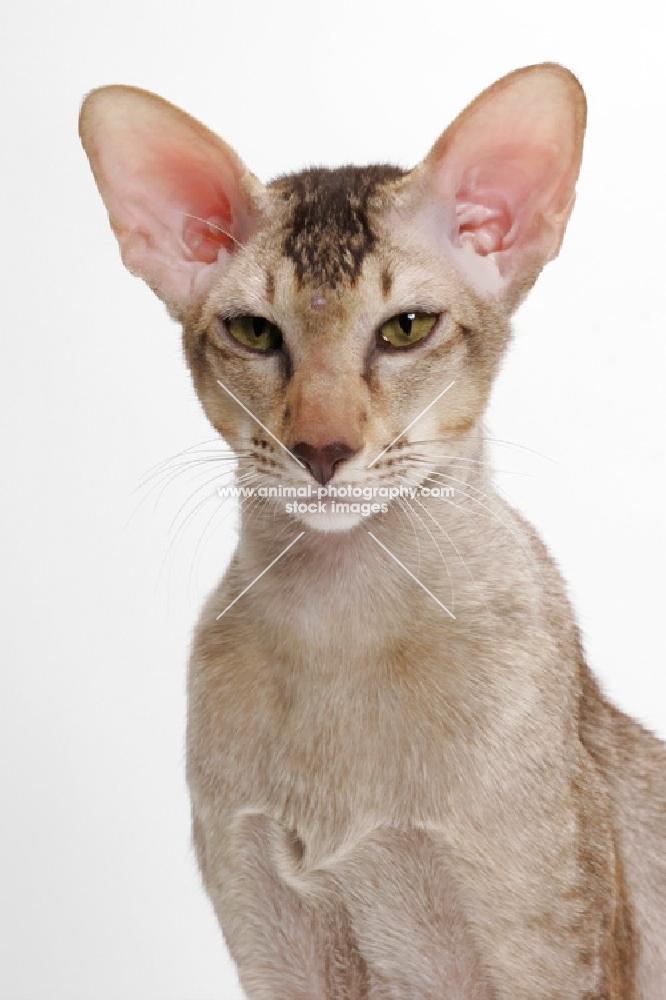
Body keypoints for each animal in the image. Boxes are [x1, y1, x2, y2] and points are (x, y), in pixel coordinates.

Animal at [79, 66, 664, 996]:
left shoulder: (549, 954)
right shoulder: (275, 946)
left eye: (406, 329)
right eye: (254, 331)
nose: (321, 449)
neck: (338, 624)